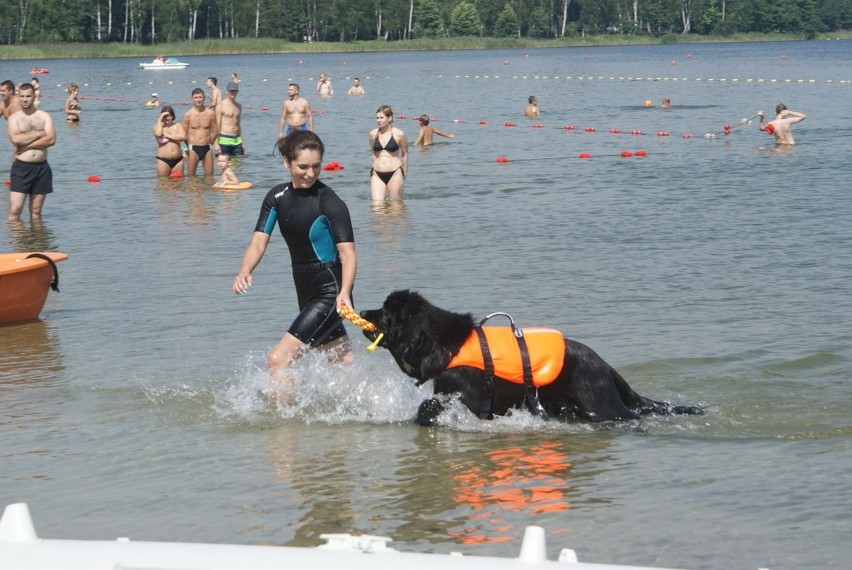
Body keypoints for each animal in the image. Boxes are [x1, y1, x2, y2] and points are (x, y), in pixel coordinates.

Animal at [360, 290, 700, 424]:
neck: (440, 343)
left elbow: (431, 405)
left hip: (600, 403)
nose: (362, 311)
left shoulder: (470, 395)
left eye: (386, 313)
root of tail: (604, 364)